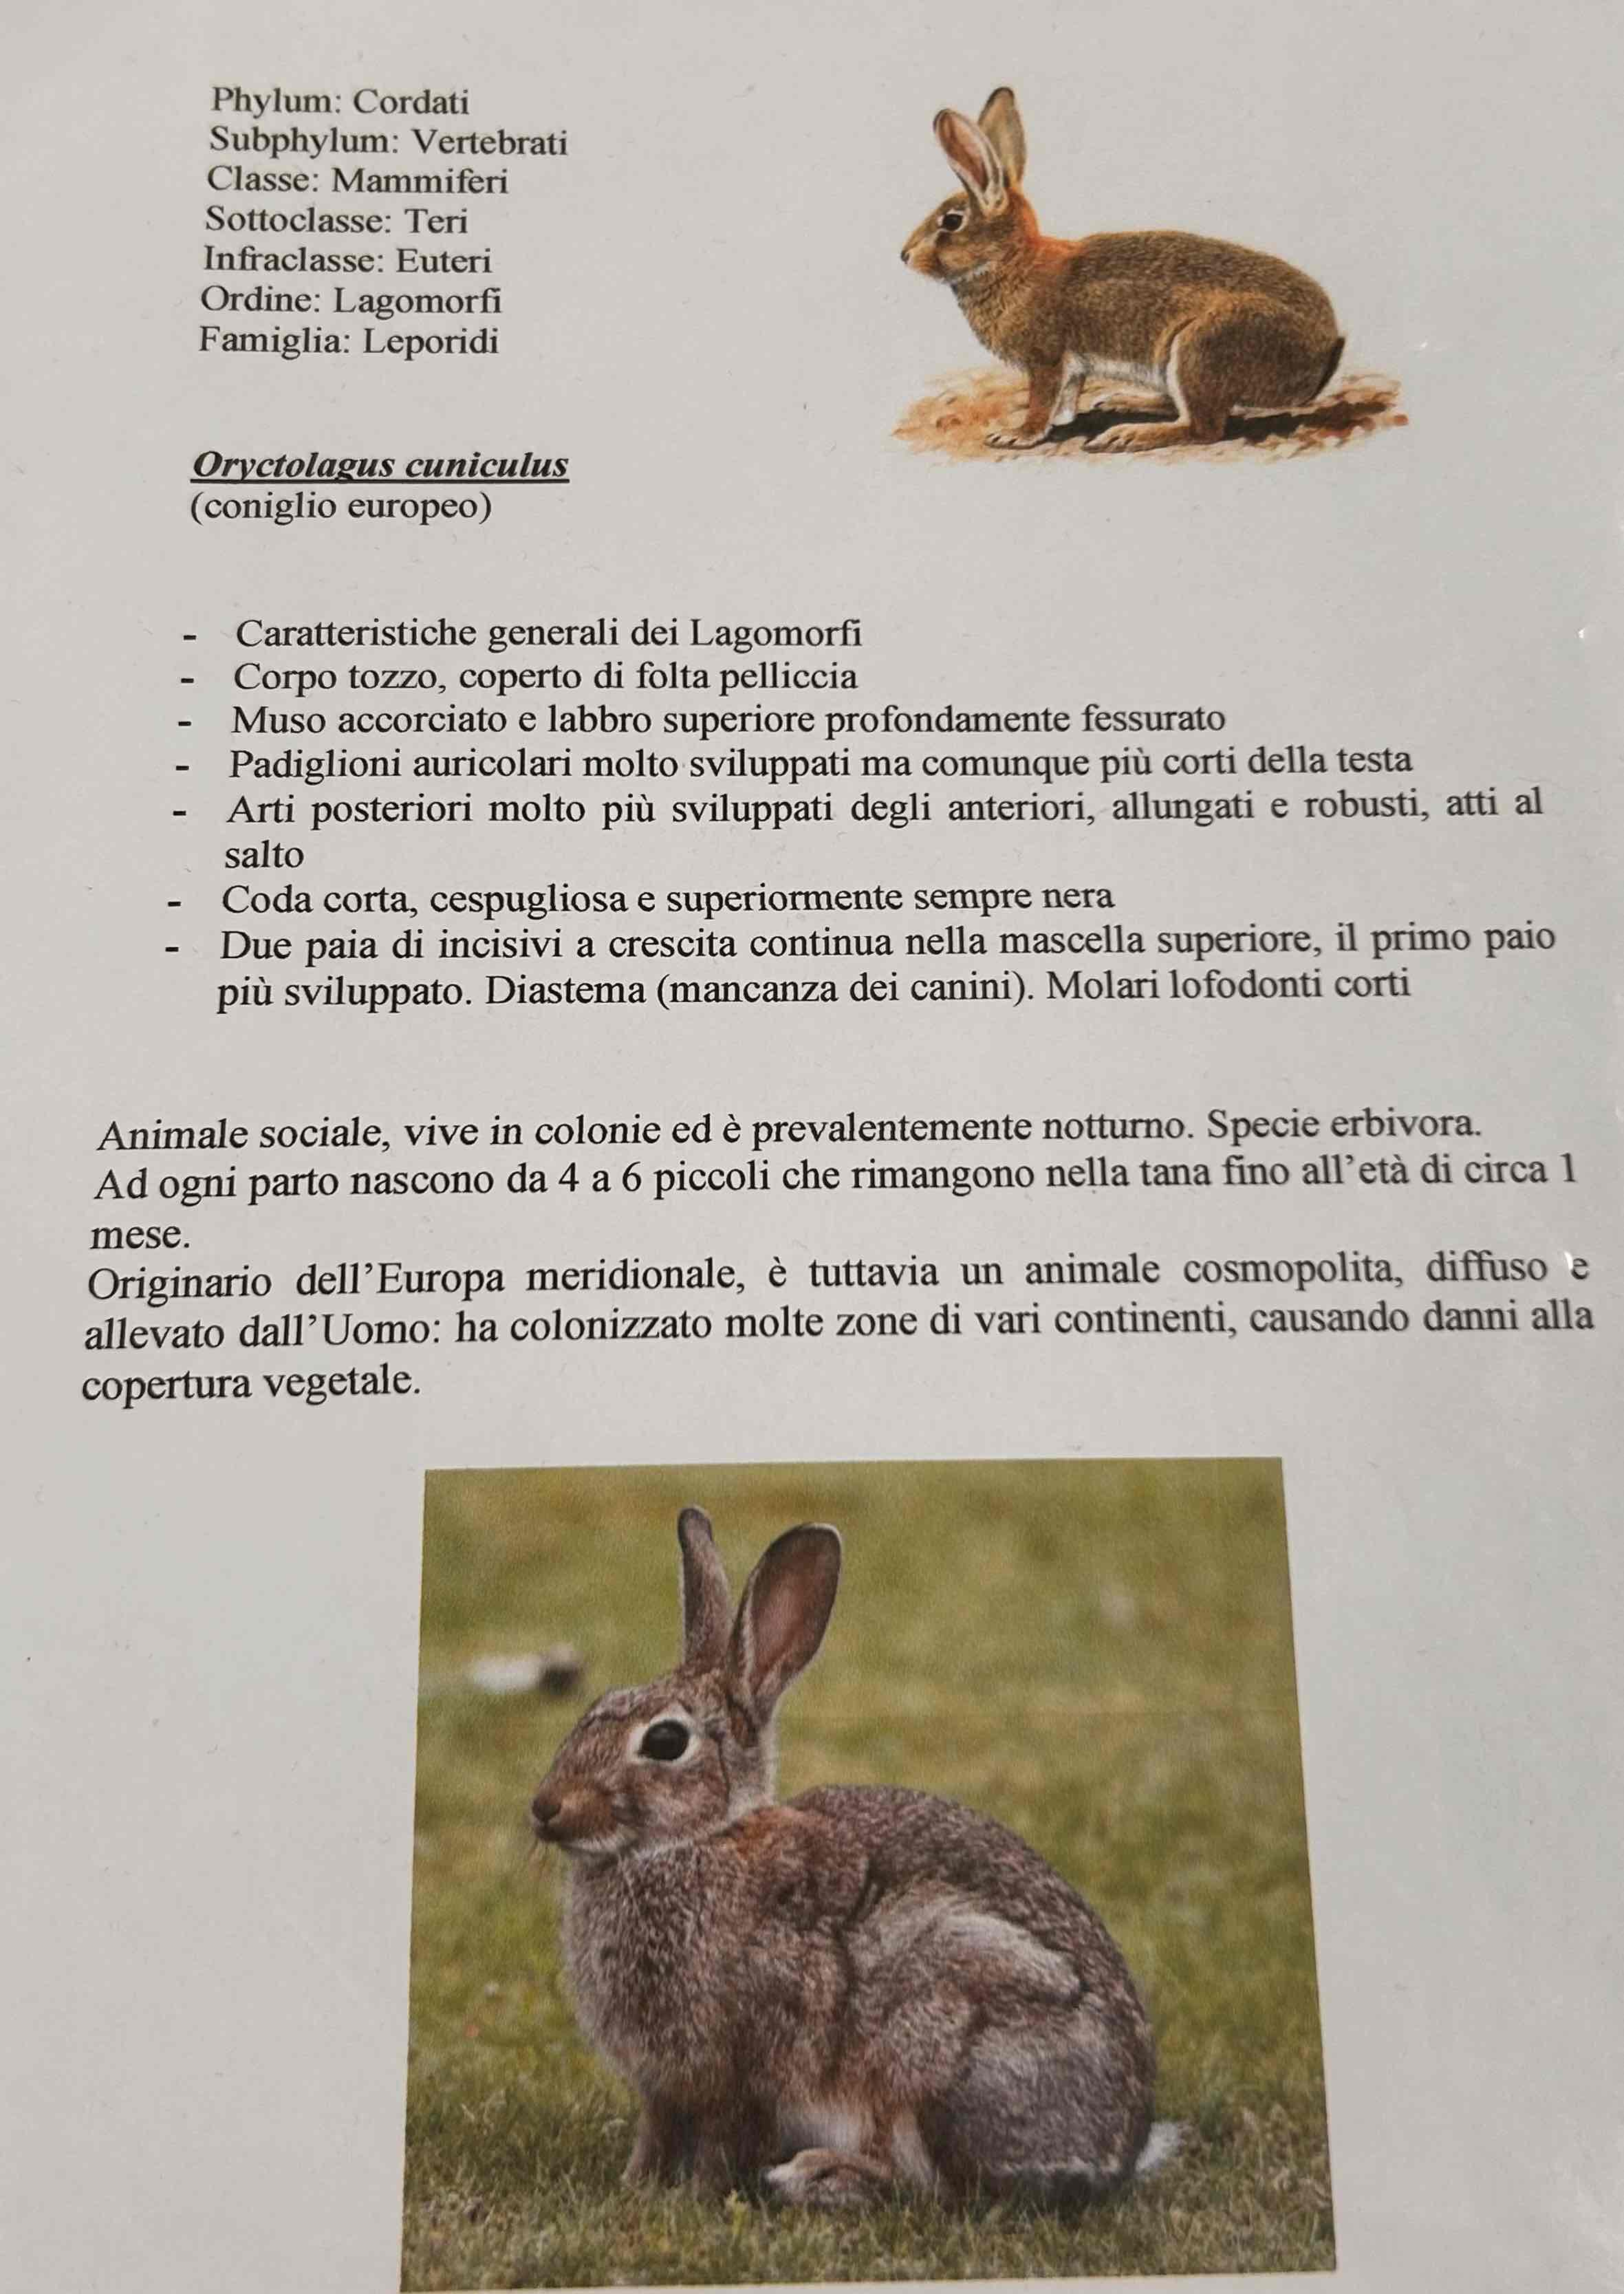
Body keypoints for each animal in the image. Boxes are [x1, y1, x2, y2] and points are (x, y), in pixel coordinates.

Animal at [529, 1505, 1178, 2208]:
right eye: (595, 1707)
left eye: (667, 1741)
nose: (545, 1807)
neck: (695, 1840)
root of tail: (1120, 2149)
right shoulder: (661, 2088)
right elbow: (653, 2135)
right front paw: (633, 2186)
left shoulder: (738, 2070)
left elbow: (719, 2142)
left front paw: (694, 2197)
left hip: (936, 2054)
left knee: (944, 2191)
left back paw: (819, 2175)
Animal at [901, 87, 1344, 453]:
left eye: (951, 222)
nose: (904, 255)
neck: (1011, 261)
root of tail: (1324, 353)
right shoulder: (1070, 368)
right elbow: (1066, 398)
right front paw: (1061, 419)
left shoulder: (1046, 358)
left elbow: (1041, 401)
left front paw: (1017, 435)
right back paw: (1122, 400)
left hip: (1201, 347)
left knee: (1203, 428)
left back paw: (1126, 435)